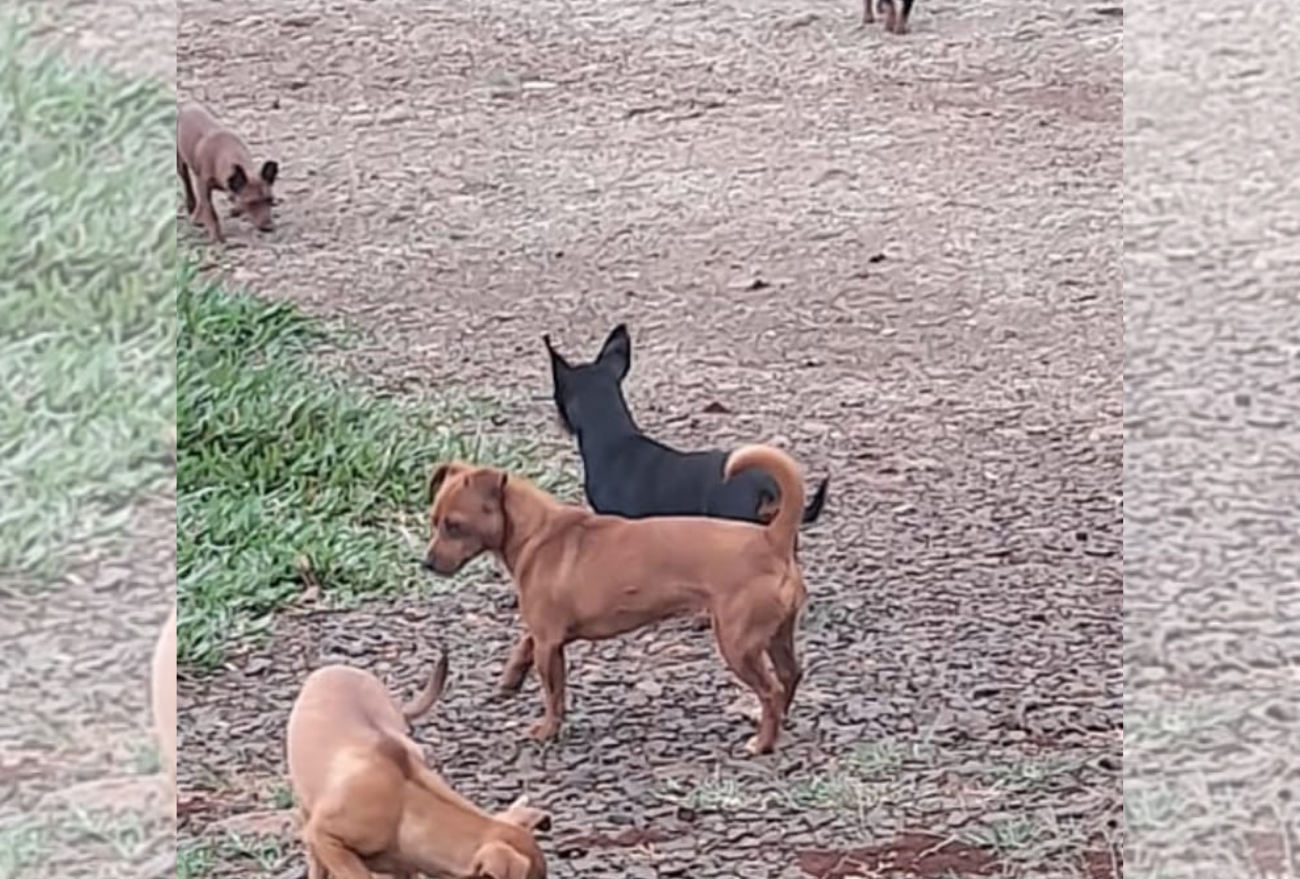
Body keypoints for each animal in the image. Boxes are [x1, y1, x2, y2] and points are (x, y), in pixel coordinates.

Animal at [175, 101, 279, 241]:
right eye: (251, 203)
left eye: (270, 200)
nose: (269, 228)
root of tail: (187, 106)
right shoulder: (203, 186)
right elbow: (210, 212)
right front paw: (216, 236)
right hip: (180, 161)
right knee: (186, 181)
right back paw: (192, 206)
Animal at [421, 447, 806, 754]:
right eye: (434, 521)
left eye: (454, 526)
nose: (426, 564)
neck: (537, 533)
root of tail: (771, 539)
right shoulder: (543, 632)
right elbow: (523, 643)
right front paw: (510, 678)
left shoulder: (549, 644)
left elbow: (553, 693)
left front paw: (547, 730)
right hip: (776, 636)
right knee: (790, 675)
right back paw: (779, 722)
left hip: (737, 643)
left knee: (771, 689)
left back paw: (763, 742)